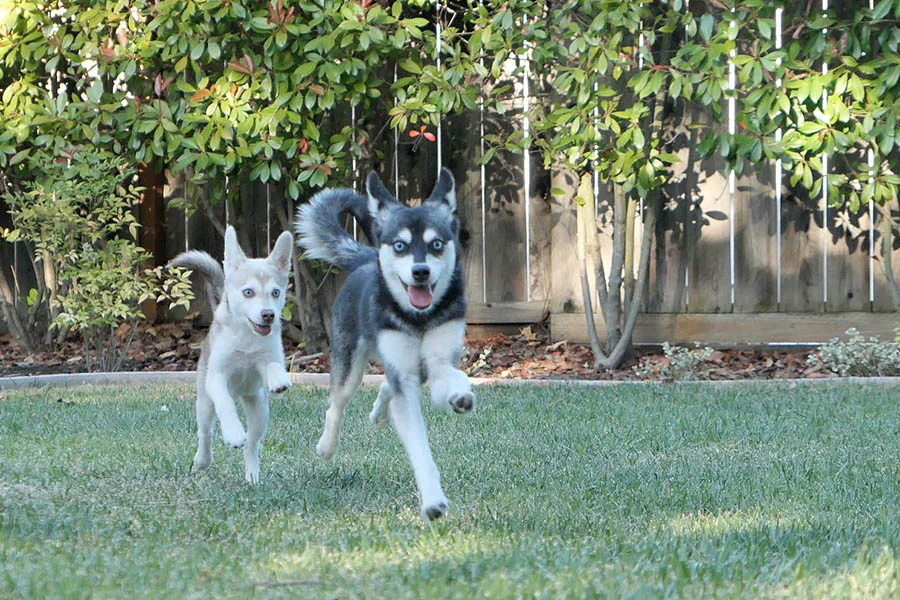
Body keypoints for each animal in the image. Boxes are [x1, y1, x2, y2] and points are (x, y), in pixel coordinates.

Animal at [168, 227, 292, 486]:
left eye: (276, 292)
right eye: (248, 292)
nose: (269, 315)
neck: (246, 336)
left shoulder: (268, 357)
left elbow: (272, 364)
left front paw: (279, 379)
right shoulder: (217, 378)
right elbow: (225, 404)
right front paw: (234, 432)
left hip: (259, 409)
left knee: (252, 444)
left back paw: (252, 475)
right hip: (204, 403)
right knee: (206, 432)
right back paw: (202, 460)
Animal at [298, 168, 478, 520]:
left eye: (436, 244)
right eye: (400, 245)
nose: (420, 272)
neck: (418, 319)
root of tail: (366, 259)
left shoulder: (438, 360)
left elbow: (451, 378)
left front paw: (459, 395)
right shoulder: (403, 375)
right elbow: (419, 449)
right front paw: (433, 501)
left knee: (386, 387)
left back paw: (381, 413)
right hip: (350, 364)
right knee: (336, 404)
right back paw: (327, 445)